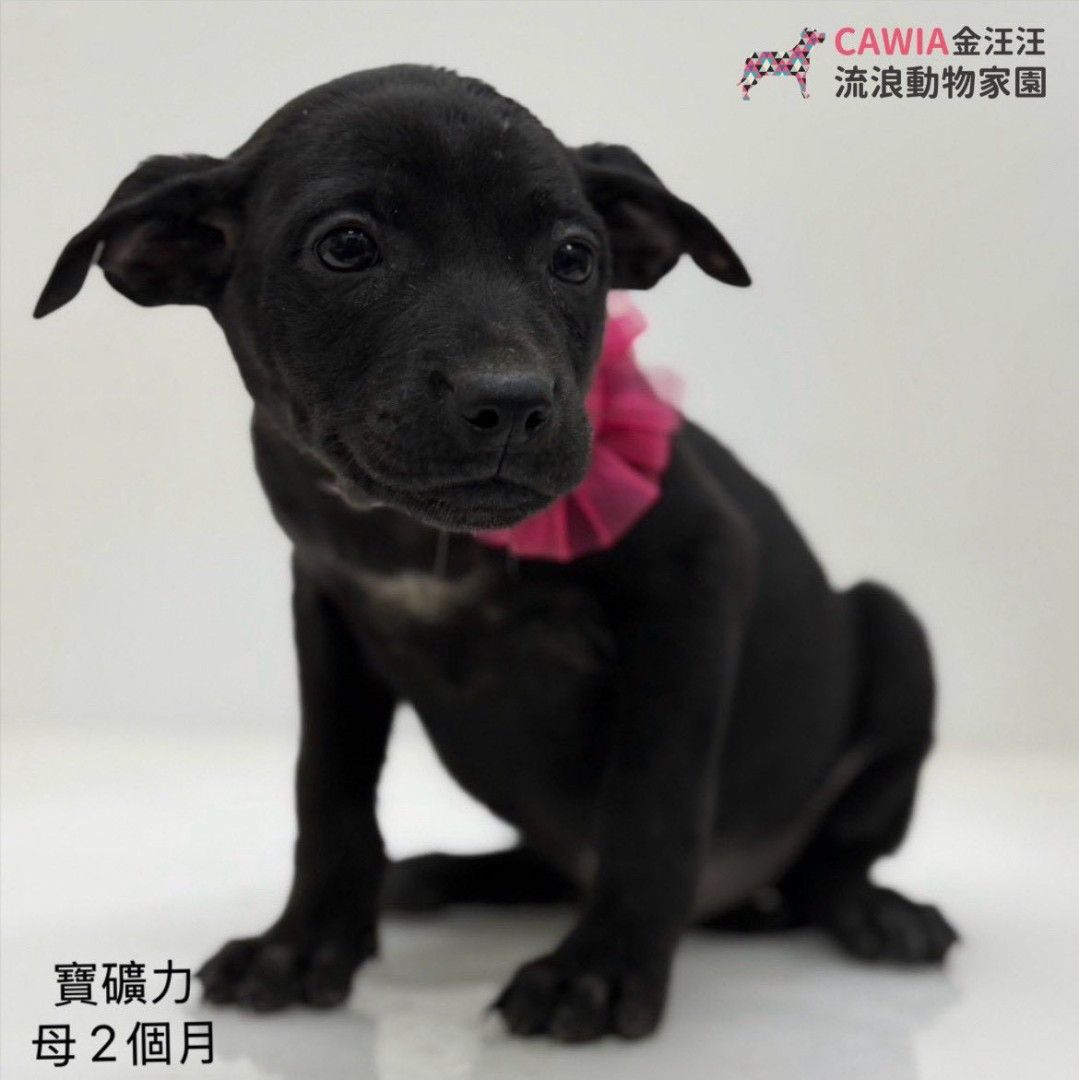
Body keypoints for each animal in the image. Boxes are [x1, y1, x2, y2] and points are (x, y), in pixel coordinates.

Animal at [35, 65, 956, 1043]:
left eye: (574, 258)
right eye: (347, 246)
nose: (512, 402)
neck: (420, 533)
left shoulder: (698, 579)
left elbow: (654, 800)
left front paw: (602, 968)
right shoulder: (327, 606)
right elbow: (326, 788)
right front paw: (305, 942)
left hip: (896, 635)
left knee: (829, 863)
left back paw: (878, 913)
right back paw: (443, 873)